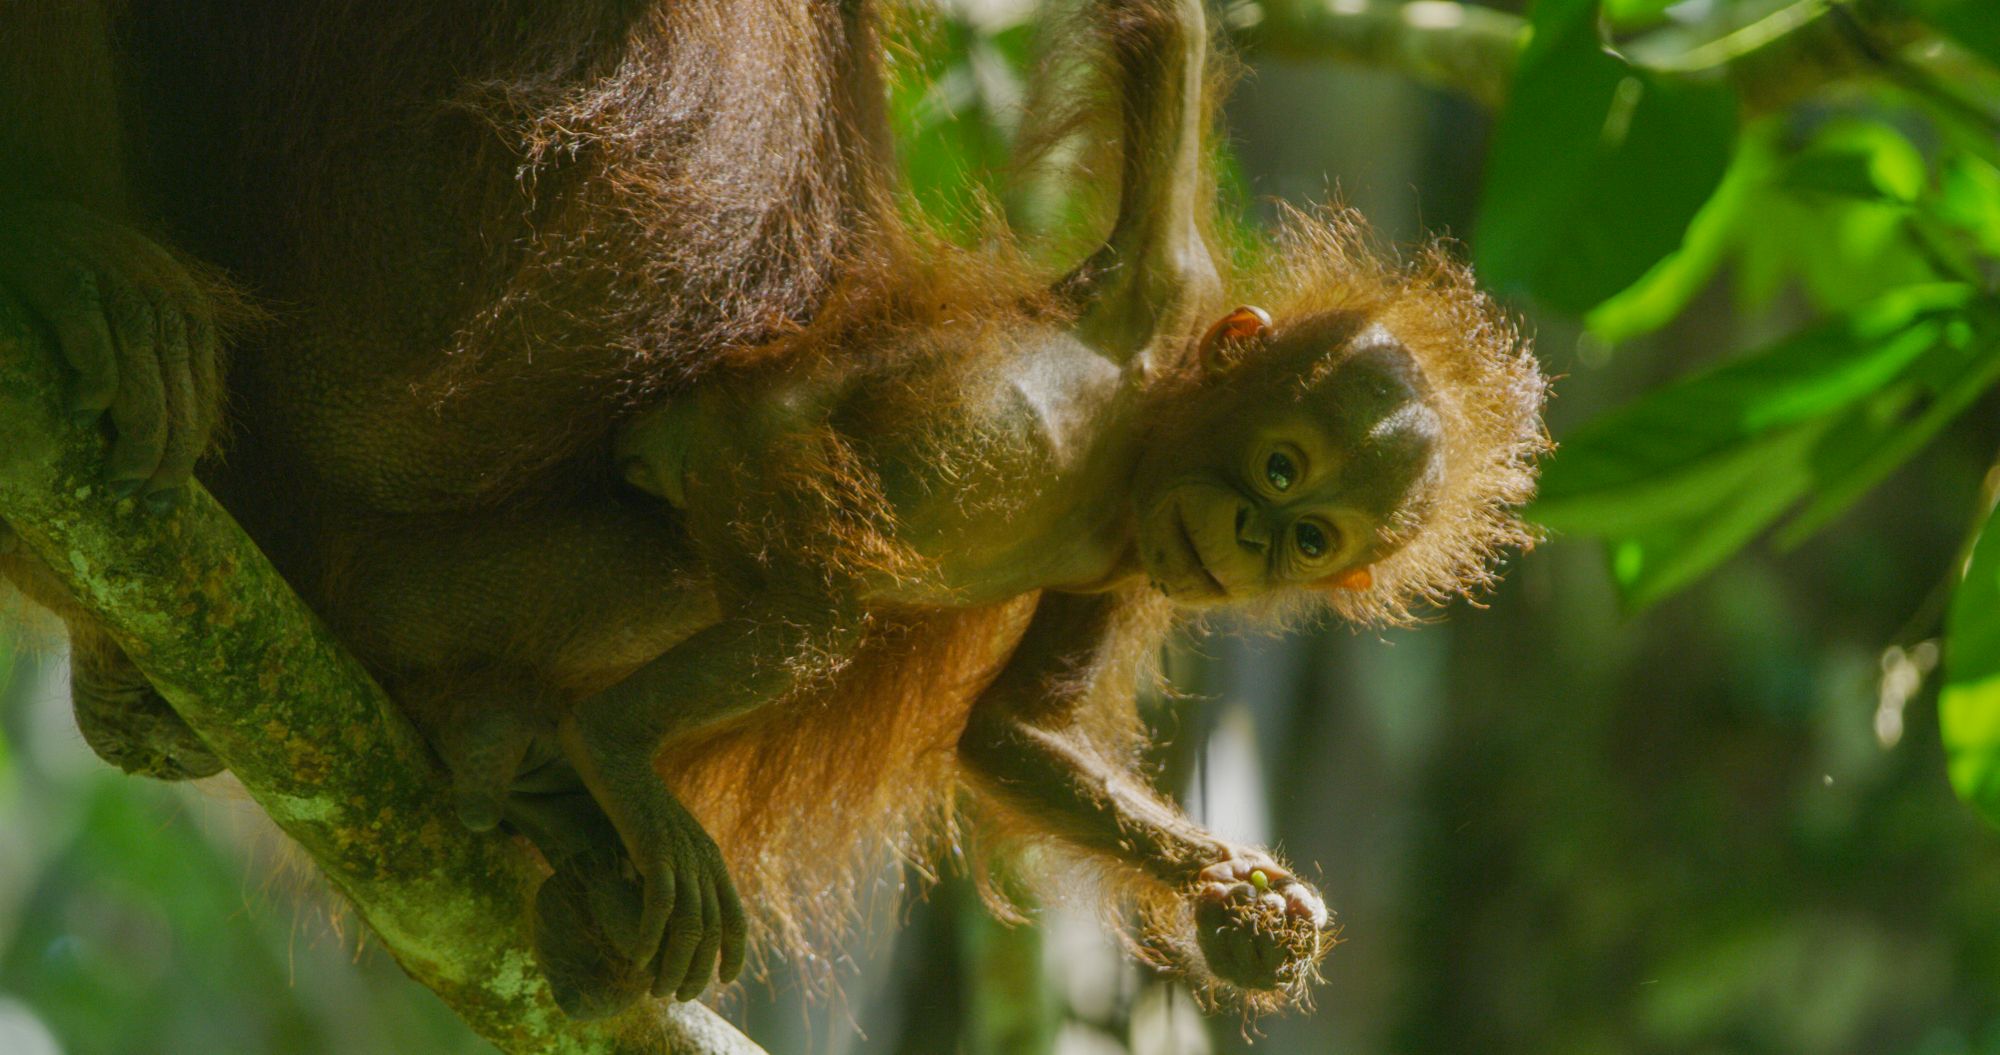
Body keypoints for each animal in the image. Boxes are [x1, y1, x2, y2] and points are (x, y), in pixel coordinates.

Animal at [0, 0, 1544, 1024]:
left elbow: (1015, 732)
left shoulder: (1124, 566)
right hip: (736, 469)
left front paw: (1249, 900)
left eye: (1313, 538)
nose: (1253, 540)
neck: (1138, 439)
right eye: (1282, 468)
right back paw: (602, 758)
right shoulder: (1158, 281)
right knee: (797, 608)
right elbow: (1162, 51)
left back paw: (530, 775)